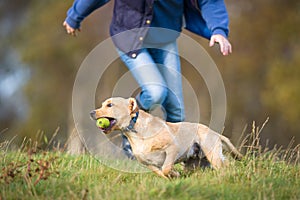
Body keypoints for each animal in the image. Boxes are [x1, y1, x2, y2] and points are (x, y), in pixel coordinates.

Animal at [90, 97, 243, 180]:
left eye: (110, 105)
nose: (91, 112)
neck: (135, 131)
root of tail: (215, 133)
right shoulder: (147, 163)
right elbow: (160, 172)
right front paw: (173, 176)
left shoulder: (172, 149)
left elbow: (166, 168)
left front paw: (174, 173)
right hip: (200, 162)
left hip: (212, 155)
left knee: (224, 166)